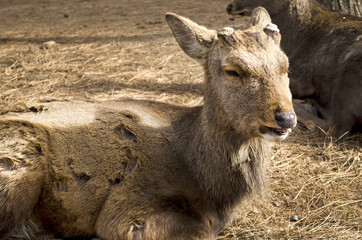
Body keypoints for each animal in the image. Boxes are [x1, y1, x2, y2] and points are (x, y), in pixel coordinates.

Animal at [0, 9, 296, 240]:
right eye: (233, 70)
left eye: (285, 66)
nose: (286, 118)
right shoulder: (127, 206)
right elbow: (202, 231)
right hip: (19, 162)